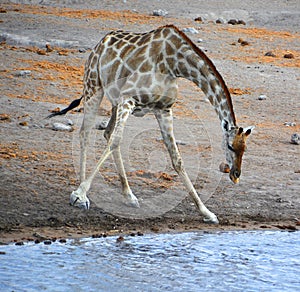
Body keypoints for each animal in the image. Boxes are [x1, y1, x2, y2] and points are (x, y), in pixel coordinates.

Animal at [48, 24, 253, 224]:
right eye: (229, 146)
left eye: (245, 148)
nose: (236, 174)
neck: (174, 65)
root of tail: (99, 44)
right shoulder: (128, 98)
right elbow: (115, 141)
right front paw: (78, 195)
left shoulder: (163, 109)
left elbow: (177, 159)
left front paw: (207, 213)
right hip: (93, 86)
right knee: (87, 133)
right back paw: (83, 194)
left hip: (114, 100)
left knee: (107, 133)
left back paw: (129, 196)